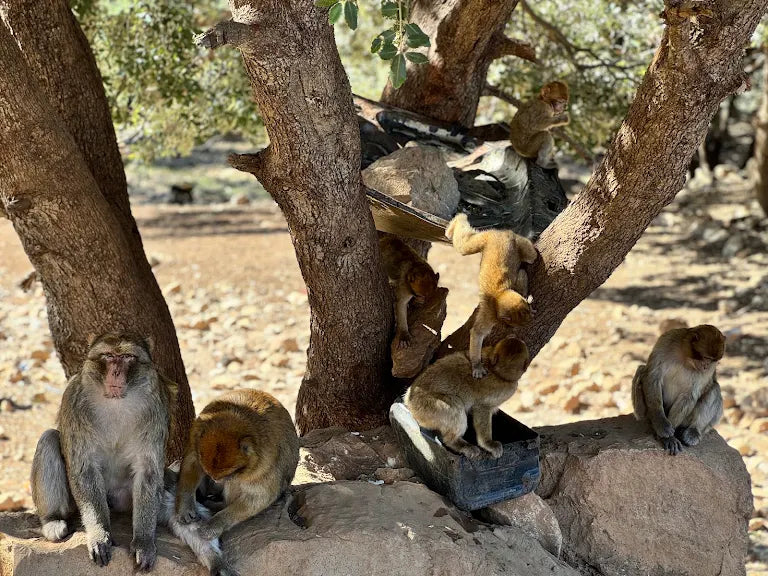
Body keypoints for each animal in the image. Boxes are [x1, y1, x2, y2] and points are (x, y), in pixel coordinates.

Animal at [30, 332, 235, 575]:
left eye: (127, 357)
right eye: (108, 356)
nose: (116, 372)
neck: (116, 402)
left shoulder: (156, 407)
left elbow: (148, 472)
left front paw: (144, 543)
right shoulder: (73, 400)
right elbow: (84, 469)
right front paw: (99, 534)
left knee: (178, 507)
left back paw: (215, 560)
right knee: (49, 439)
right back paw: (52, 520)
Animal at [175, 389, 299, 540]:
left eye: (228, 473)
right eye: (210, 473)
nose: (215, 480)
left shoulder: (265, 462)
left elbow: (259, 497)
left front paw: (215, 524)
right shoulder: (196, 433)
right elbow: (192, 461)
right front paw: (185, 506)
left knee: (236, 483)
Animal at [446, 212, 536, 378]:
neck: (500, 296)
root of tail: (502, 233)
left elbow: (521, 275)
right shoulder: (490, 313)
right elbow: (477, 333)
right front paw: (477, 366)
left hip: (514, 241)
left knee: (531, 257)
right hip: (489, 238)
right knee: (465, 247)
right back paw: (457, 221)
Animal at [631, 324, 726, 455]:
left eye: (713, 361)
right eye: (706, 357)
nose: (706, 366)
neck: (685, 357)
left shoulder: (709, 370)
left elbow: (689, 395)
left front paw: (668, 438)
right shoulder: (666, 340)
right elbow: (653, 377)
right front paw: (661, 425)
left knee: (714, 388)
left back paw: (693, 430)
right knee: (642, 370)